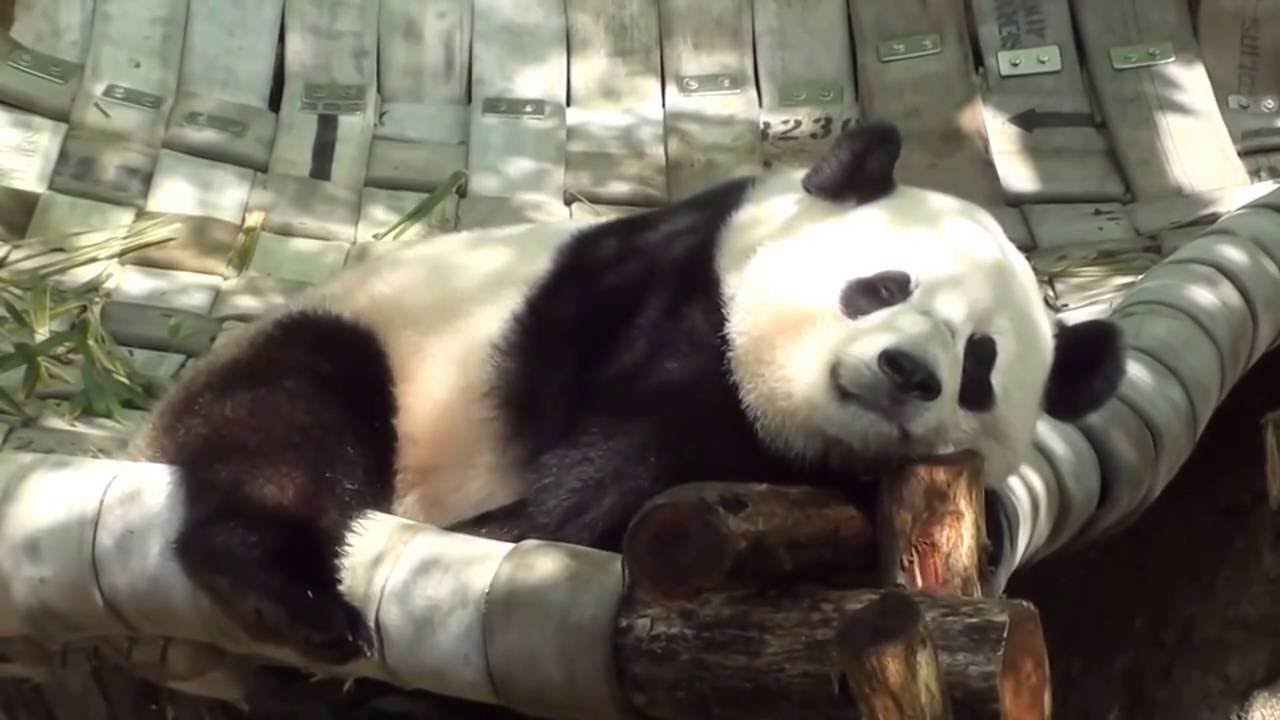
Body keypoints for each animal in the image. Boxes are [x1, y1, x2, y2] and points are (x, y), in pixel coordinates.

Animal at [125, 120, 1124, 671]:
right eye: (881, 287)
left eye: (980, 364)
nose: (909, 372)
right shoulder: (663, 297)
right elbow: (602, 478)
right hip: (369, 343)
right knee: (293, 420)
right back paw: (280, 589)